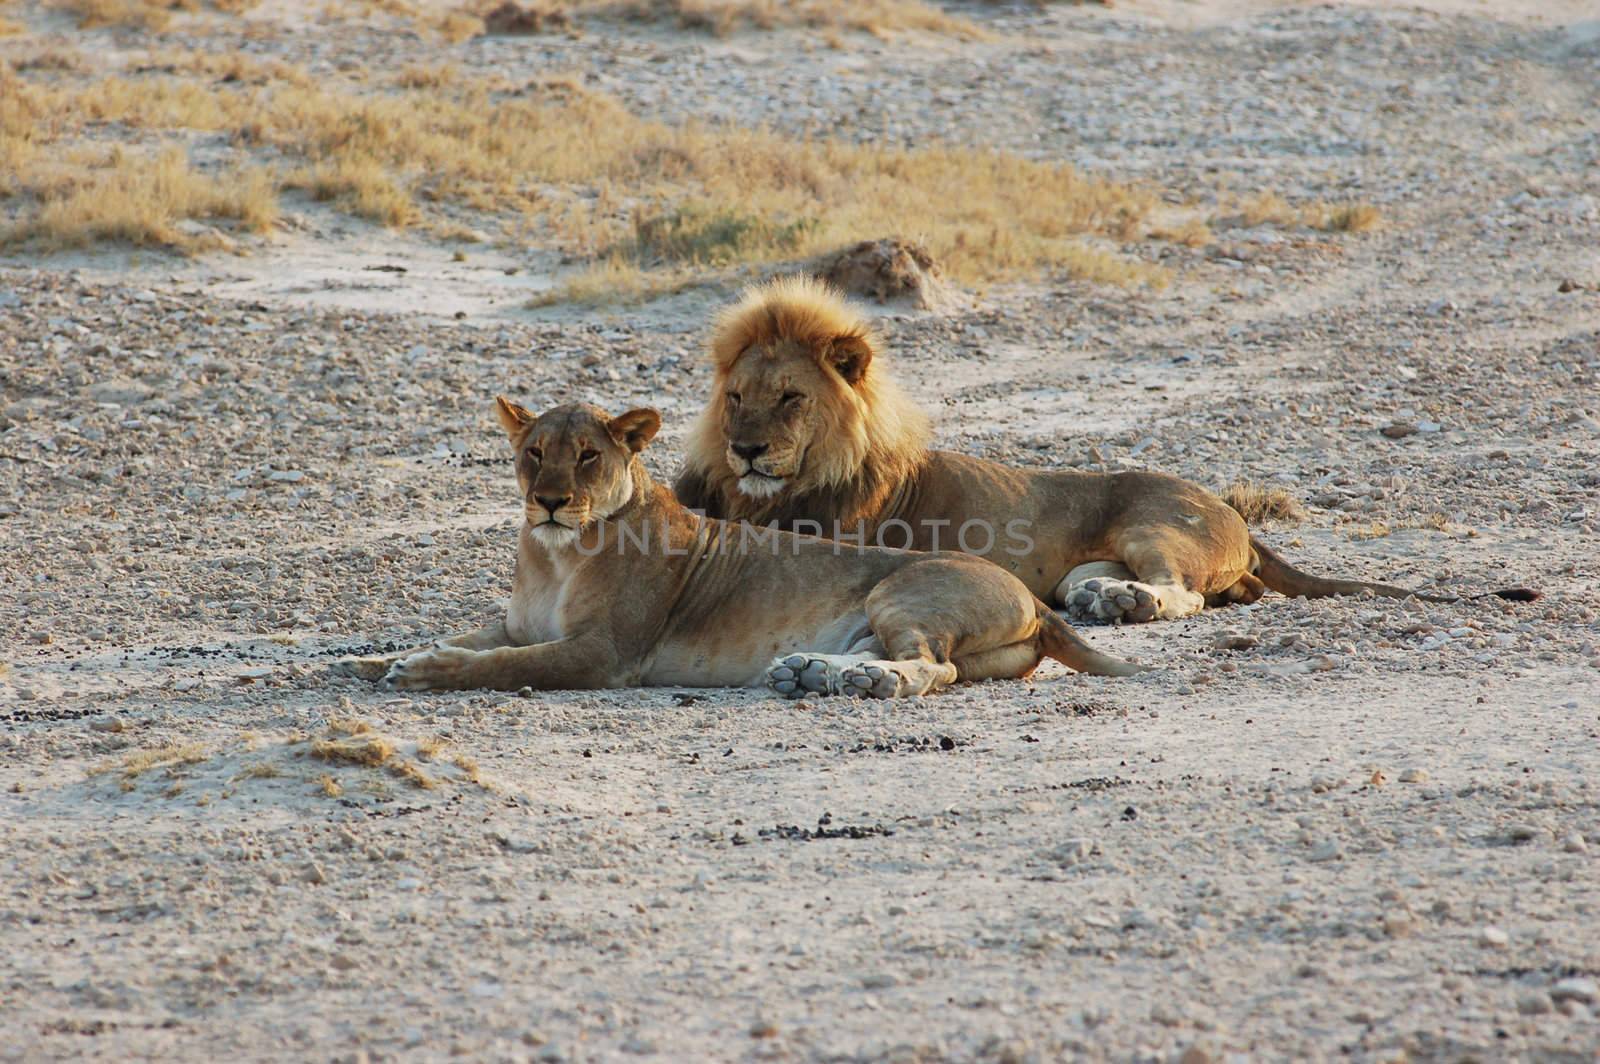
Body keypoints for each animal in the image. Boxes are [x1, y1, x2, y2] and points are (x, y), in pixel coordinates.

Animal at [340, 398, 1139, 697]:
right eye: (534, 453)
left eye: (589, 456)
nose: (550, 500)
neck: (555, 553)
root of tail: (1034, 597)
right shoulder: (515, 622)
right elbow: (478, 639)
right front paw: (367, 660)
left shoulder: (605, 654)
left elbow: (505, 663)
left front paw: (425, 670)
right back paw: (816, 672)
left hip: (901, 590)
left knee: (930, 668)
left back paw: (860, 682)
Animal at [668, 273, 1529, 624]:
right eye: (735, 397)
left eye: (792, 398)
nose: (746, 450)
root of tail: (1234, 513)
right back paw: (1101, 599)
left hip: (1157, 524)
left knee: (1185, 593)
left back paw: (1128, 604)